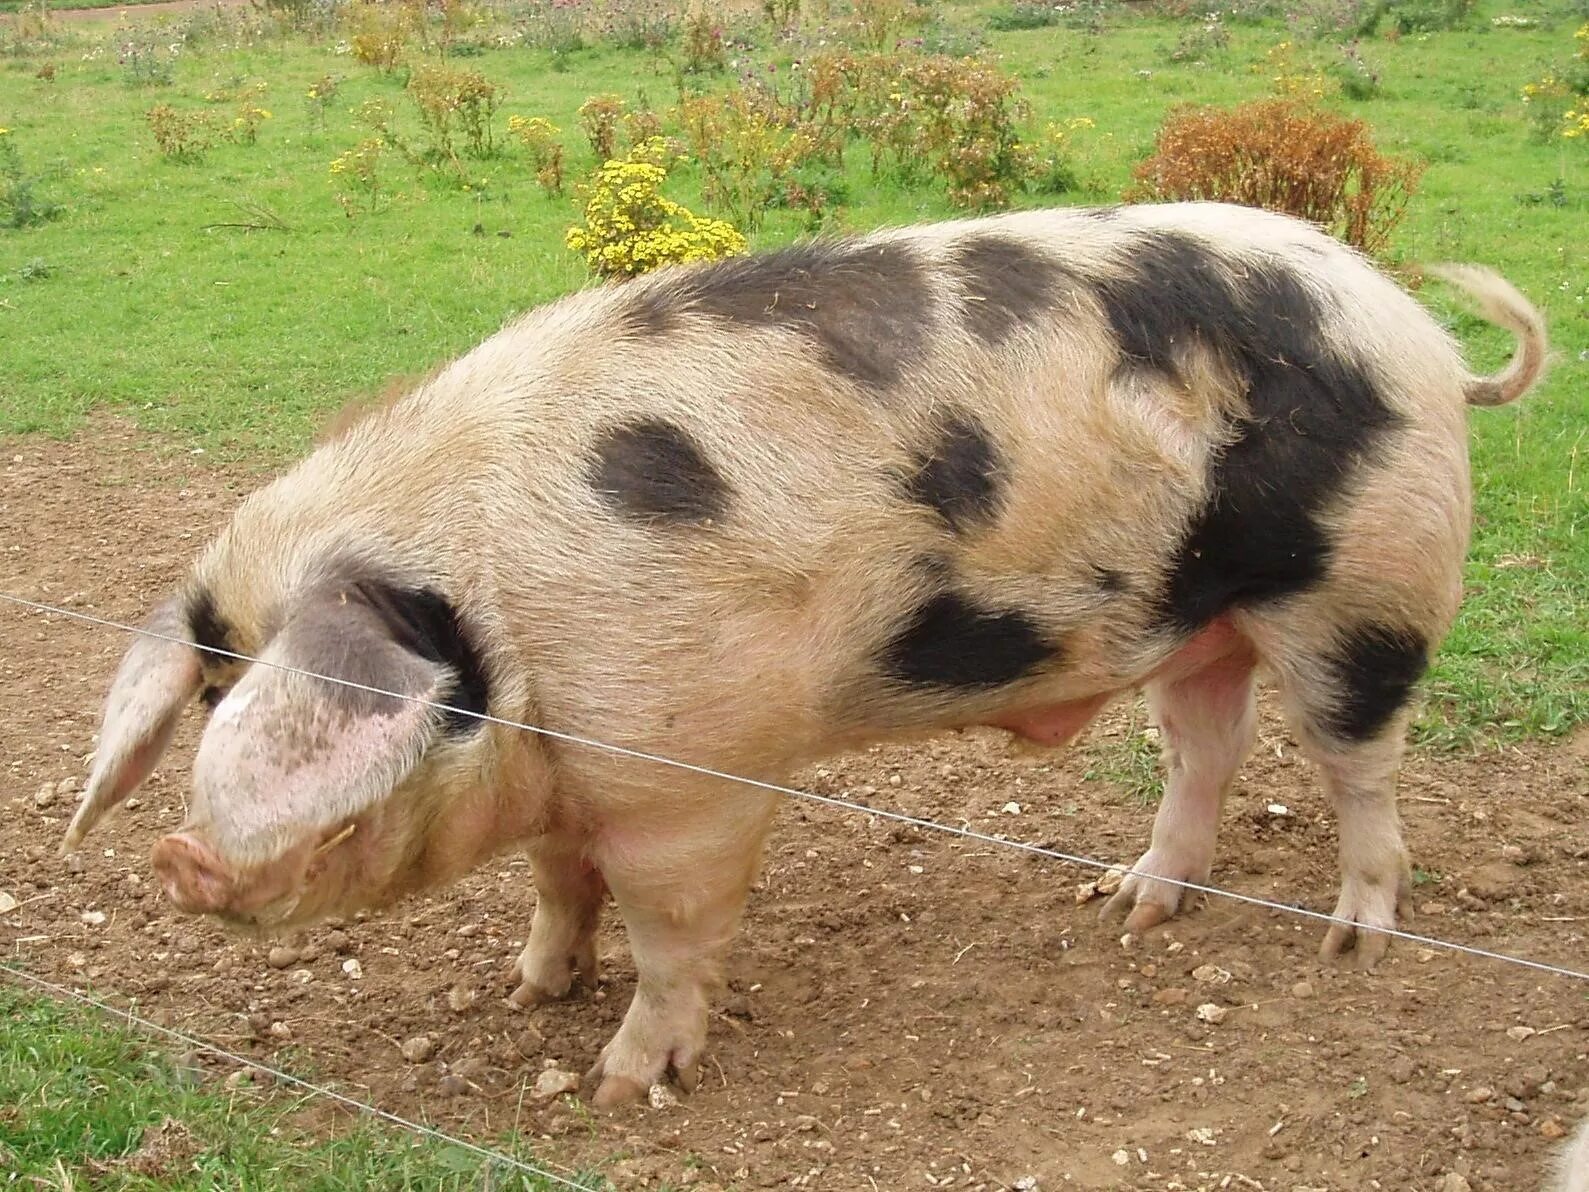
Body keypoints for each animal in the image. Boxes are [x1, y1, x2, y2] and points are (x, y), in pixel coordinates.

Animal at [68, 201, 1544, 1106]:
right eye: (215, 683)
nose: (179, 856)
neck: (513, 632)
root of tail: (1420, 338)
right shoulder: (575, 778)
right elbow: (556, 883)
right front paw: (530, 984)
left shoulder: (687, 778)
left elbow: (671, 934)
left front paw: (618, 1081)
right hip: (1197, 619)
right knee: (1204, 746)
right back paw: (1126, 905)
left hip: (1365, 584)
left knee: (1359, 764)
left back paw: (1353, 943)